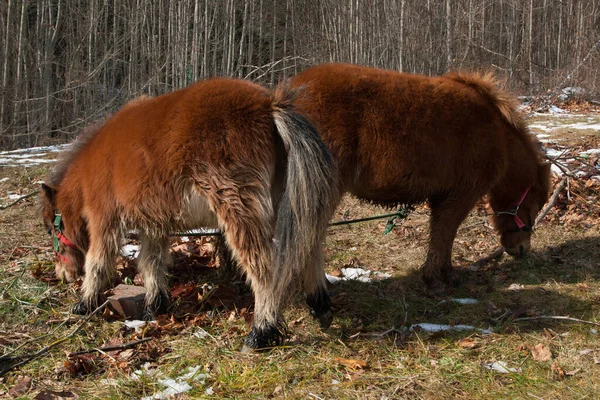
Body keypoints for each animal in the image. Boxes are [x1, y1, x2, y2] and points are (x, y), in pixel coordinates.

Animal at [39, 79, 340, 350]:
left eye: (52, 228)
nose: (61, 276)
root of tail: (268, 105)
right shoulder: (153, 226)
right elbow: (151, 263)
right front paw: (154, 307)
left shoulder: (105, 221)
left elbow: (98, 262)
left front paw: (84, 304)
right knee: (309, 246)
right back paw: (319, 304)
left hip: (238, 208)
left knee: (263, 267)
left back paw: (261, 332)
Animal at [288, 63, 552, 294]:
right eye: (534, 205)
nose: (521, 249)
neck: (497, 134)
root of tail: (288, 95)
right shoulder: (461, 196)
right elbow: (445, 234)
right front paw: (435, 281)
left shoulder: (442, 197)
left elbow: (443, 237)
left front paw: (445, 274)